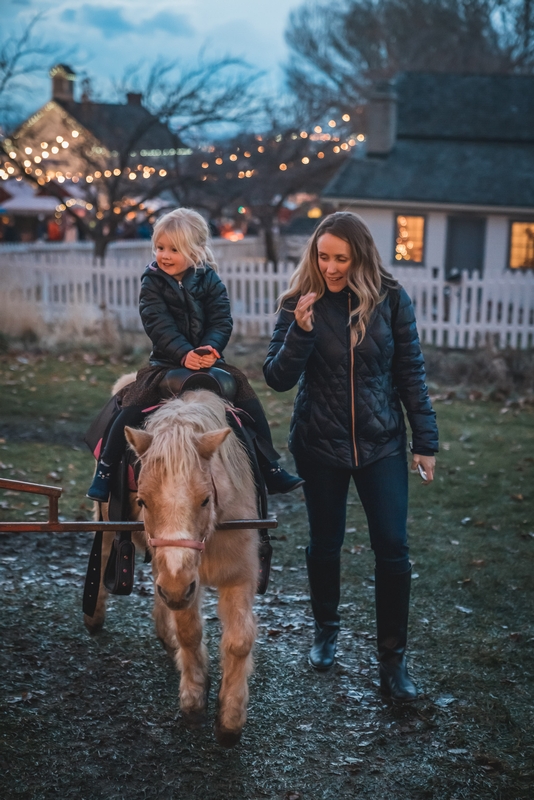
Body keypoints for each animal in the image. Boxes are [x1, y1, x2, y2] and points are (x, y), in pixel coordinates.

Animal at [84, 390, 260, 748]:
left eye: (205, 499)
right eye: (143, 501)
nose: (177, 588)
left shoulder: (237, 577)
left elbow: (239, 641)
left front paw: (230, 720)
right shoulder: (181, 583)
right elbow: (190, 633)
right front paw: (194, 700)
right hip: (110, 526)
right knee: (108, 550)